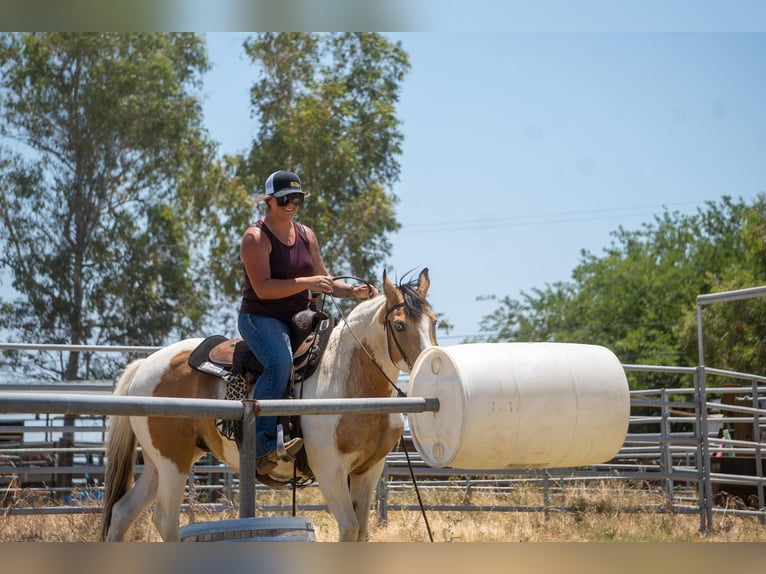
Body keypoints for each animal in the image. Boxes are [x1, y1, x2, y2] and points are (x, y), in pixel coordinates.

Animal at [99, 268, 437, 542]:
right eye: (399, 325)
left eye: (433, 321)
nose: (429, 363)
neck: (347, 375)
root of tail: (144, 365)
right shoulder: (329, 469)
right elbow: (350, 529)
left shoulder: (369, 469)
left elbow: (362, 532)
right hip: (173, 462)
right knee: (165, 520)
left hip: (159, 462)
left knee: (122, 512)